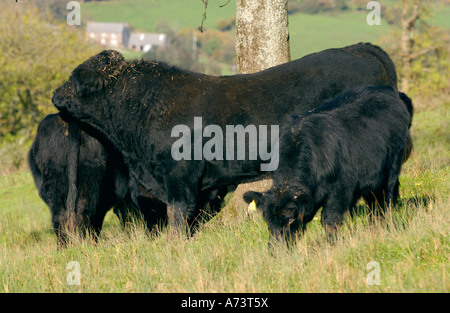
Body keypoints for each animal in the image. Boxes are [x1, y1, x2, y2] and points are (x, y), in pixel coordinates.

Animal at [244, 86, 414, 246]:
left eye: (291, 219)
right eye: (267, 221)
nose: (276, 248)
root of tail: (388, 90)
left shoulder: (340, 190)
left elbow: (329, 221)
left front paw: (332, 244)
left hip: (392, 168)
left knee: (387, 199)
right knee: (374, 202)